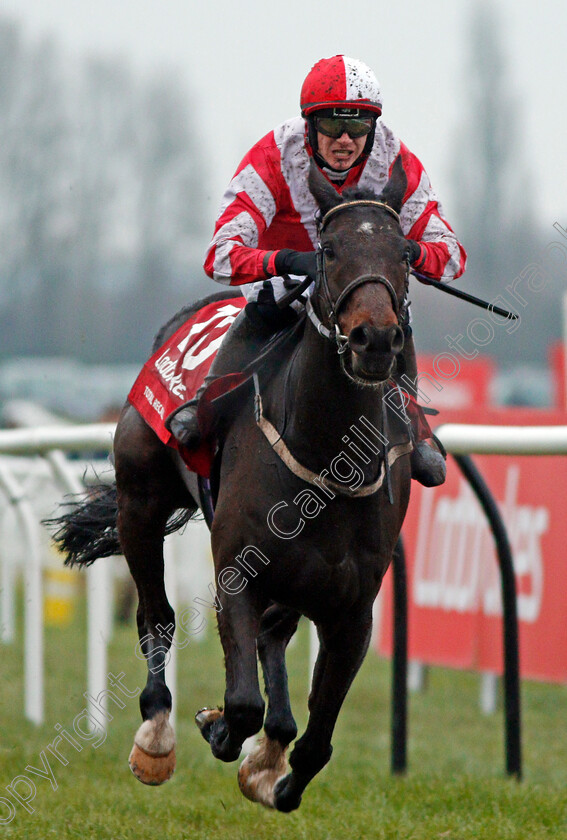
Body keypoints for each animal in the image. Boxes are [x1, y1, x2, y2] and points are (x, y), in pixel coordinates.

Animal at [53, 159, 414, 812]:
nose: (374, 340)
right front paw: (215, 726)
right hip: (139, 504)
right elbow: (241, 701)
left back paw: (272, 742)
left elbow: (318, 741)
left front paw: (273, 774)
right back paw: (157, 732)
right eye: (327, 250)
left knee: (273, 639)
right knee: (156, 615)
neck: (327, 455)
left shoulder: (352, 611)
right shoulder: (237, 575)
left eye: (404, 252)